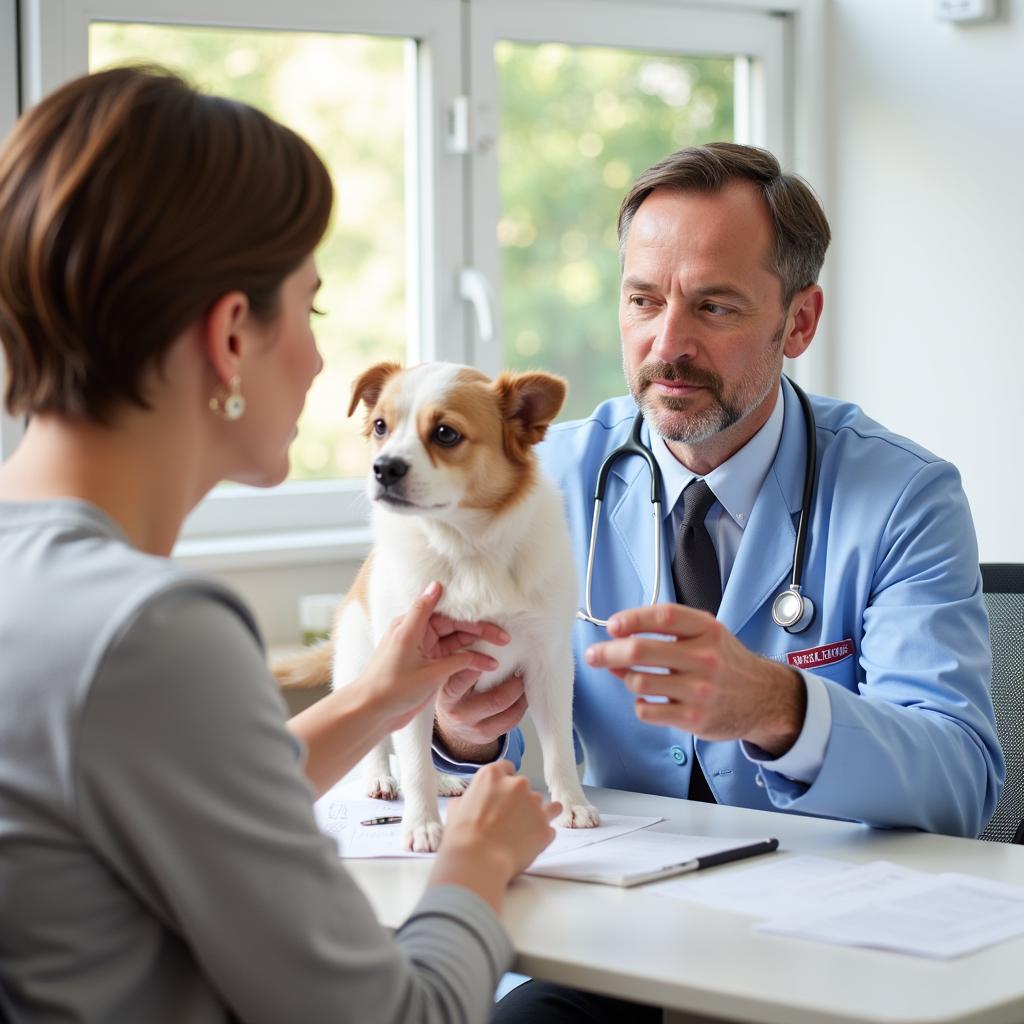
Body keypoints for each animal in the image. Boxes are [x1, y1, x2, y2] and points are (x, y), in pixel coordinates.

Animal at [278, 364, 598, 851]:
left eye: (446, 433)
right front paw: (422, 824)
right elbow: (413, 763)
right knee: (381, 740)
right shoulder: (413, 671)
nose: (383, 467)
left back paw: (445, 780)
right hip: (361, 666)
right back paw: (381, 779)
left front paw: (571, 803)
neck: (467, 548)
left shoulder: (550, 666)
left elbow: (559, 747)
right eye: (380, 426)